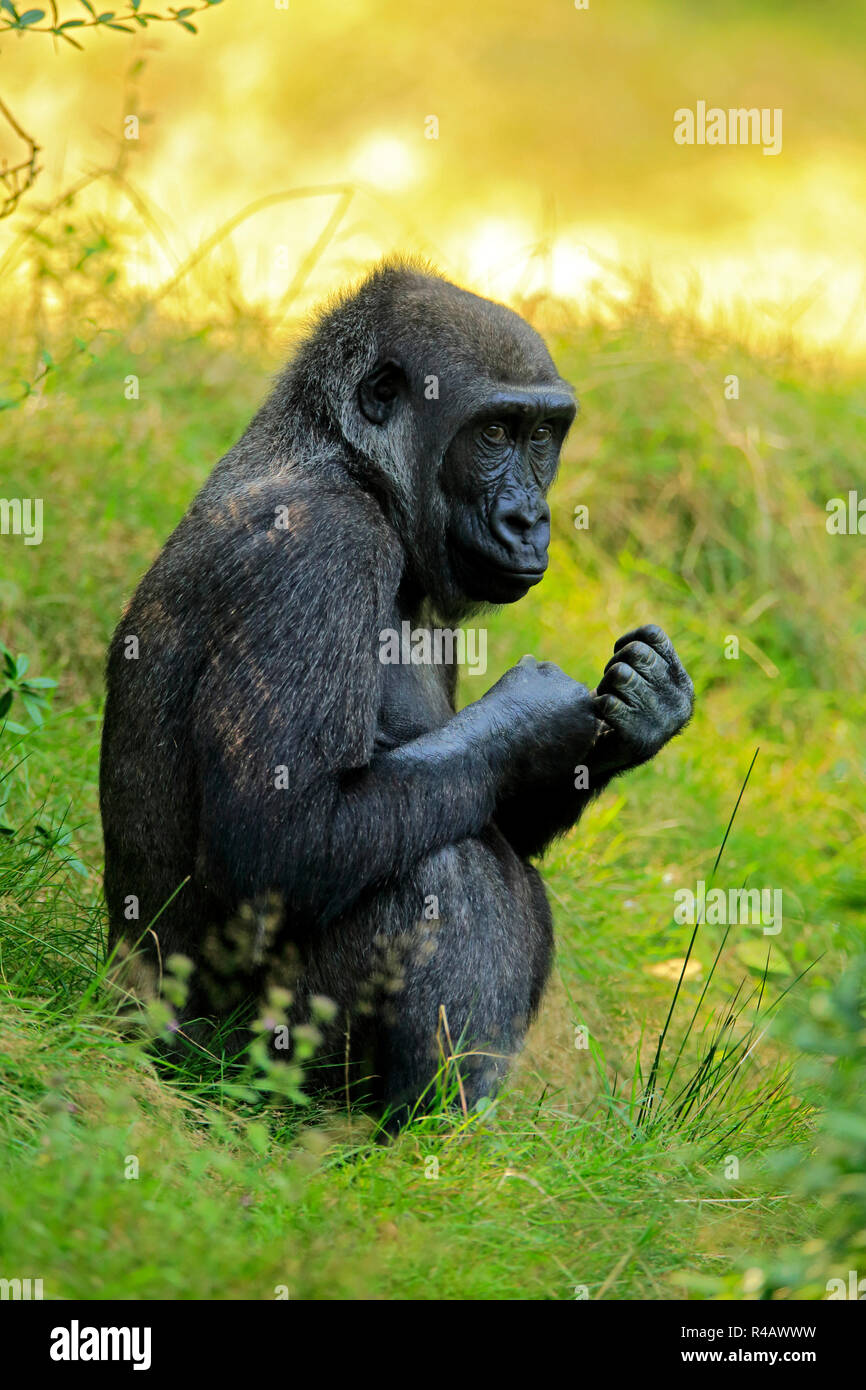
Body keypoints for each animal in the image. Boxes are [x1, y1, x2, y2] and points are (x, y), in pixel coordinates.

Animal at [101, 261, 695, 1128]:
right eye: (493, 433)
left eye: (542, 436)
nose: (530, 519)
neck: (353, 467)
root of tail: (127, 1018)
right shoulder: (322, 549)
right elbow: (276, 837)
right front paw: (532, 715)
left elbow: (505, 809)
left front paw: (643, 711)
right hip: (222, 1069)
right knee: (437, 863)